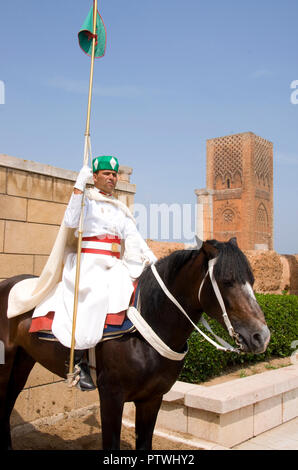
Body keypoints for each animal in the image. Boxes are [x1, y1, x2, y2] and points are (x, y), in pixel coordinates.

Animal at [0, 239, 270, 452]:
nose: (261, 336)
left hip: (24, 360)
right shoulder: (111, 396)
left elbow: (144, 444)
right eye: (226, 281)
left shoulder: (152, 399)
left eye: (252, 279)